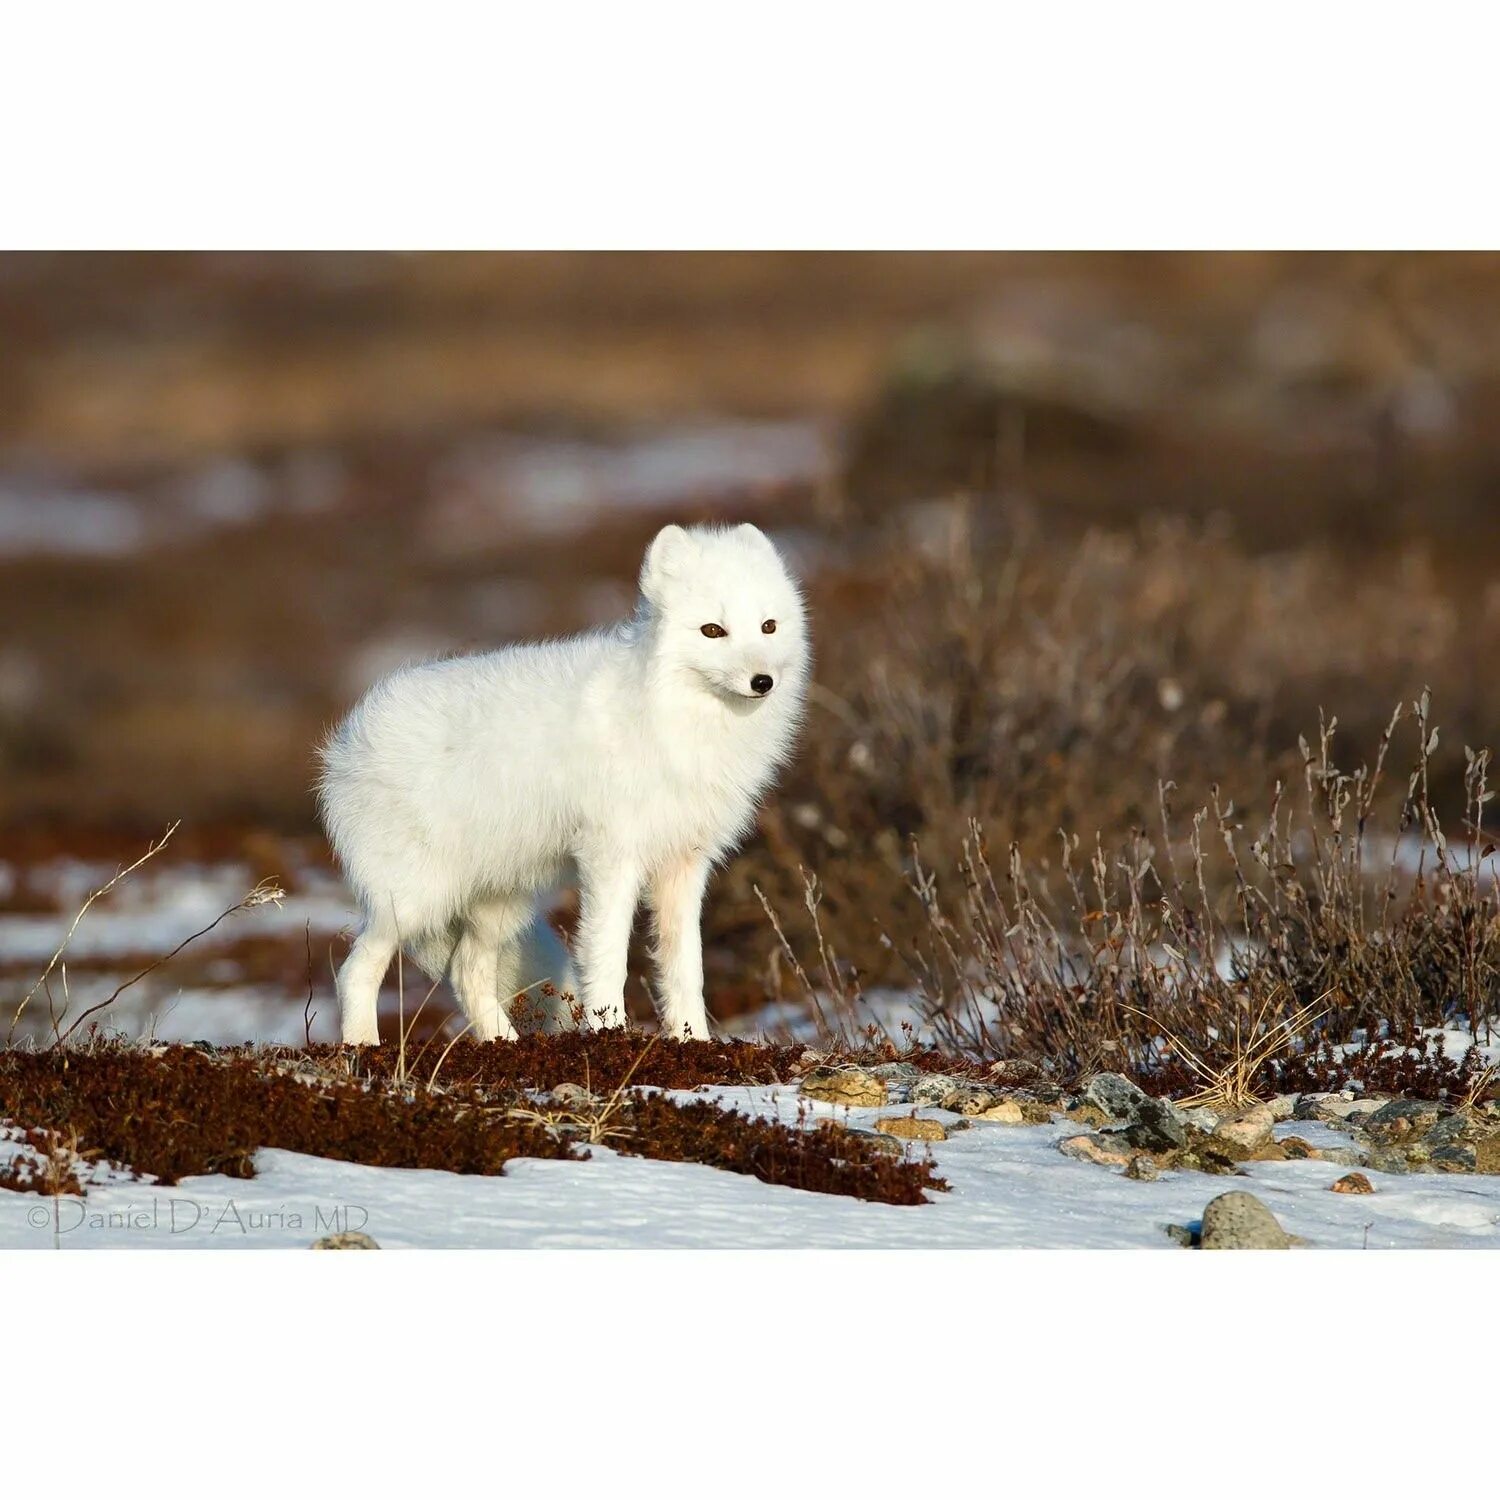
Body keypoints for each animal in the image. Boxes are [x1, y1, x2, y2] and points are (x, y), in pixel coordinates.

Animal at [316, 525, 810, 1044]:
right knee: (355, 970)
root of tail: (346, 741)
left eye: (768, 626)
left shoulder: (684, 864)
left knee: (466, 971)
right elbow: (608, 959)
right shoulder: (610, 858)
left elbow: (684, 969)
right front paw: (609, 1037)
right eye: (713, 631)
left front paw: (692, 1044)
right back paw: (364, 1048)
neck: (673, 716)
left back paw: (506, 1047)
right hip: (412, 900)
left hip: (500, 900)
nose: (763, 681)